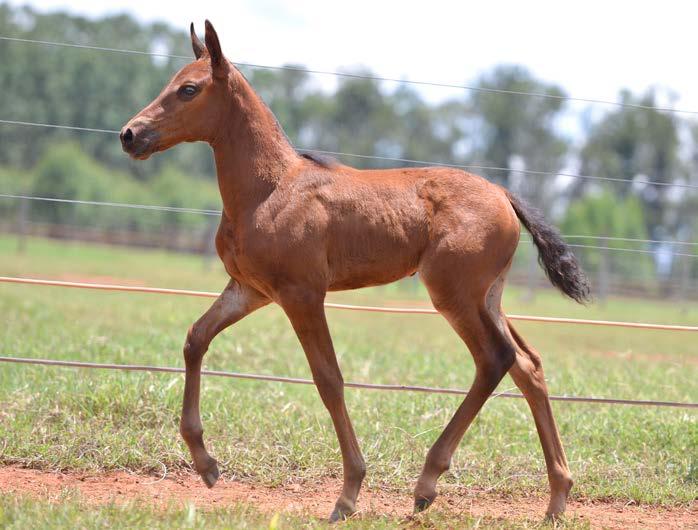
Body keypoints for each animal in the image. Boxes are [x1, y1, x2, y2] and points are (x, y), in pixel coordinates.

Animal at [119, 21, 588, 520]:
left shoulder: (302, 294)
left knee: (495, 360)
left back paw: (428, 483)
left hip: (454, 295)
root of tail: (503, 194)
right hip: (488, 297)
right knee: (527, 365)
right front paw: (206, 463)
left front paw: (348, 492)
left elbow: (329, 380)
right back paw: (557, 497)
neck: (268, 189)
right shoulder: (250, 289)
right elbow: (196, 339)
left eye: (188, 89)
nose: (129, 134)